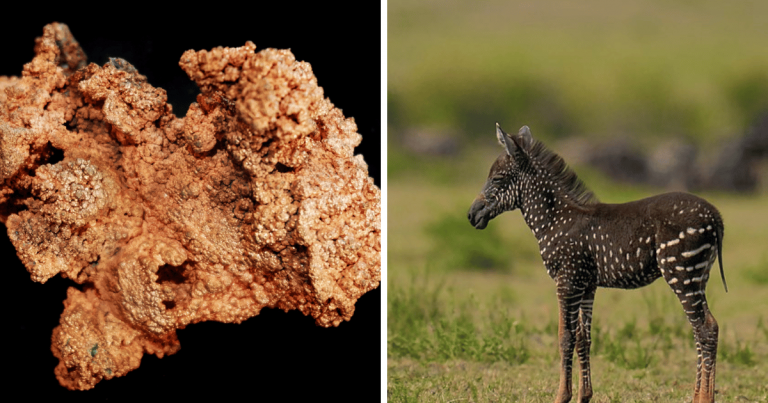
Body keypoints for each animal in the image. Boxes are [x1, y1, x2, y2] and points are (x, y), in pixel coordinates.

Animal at [467, 124, 726, 403]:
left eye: (497, 179)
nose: (471, 215)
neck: (555, 219)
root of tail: (715, 215)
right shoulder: (587, 284)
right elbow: (584, 338)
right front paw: (585, 395)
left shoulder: (567, 280)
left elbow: (565, 336)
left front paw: (562, 395)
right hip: (698, 276)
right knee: (702, 329)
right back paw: (697, 395)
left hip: (682, 273)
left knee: (705, 328)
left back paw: (704, 398)